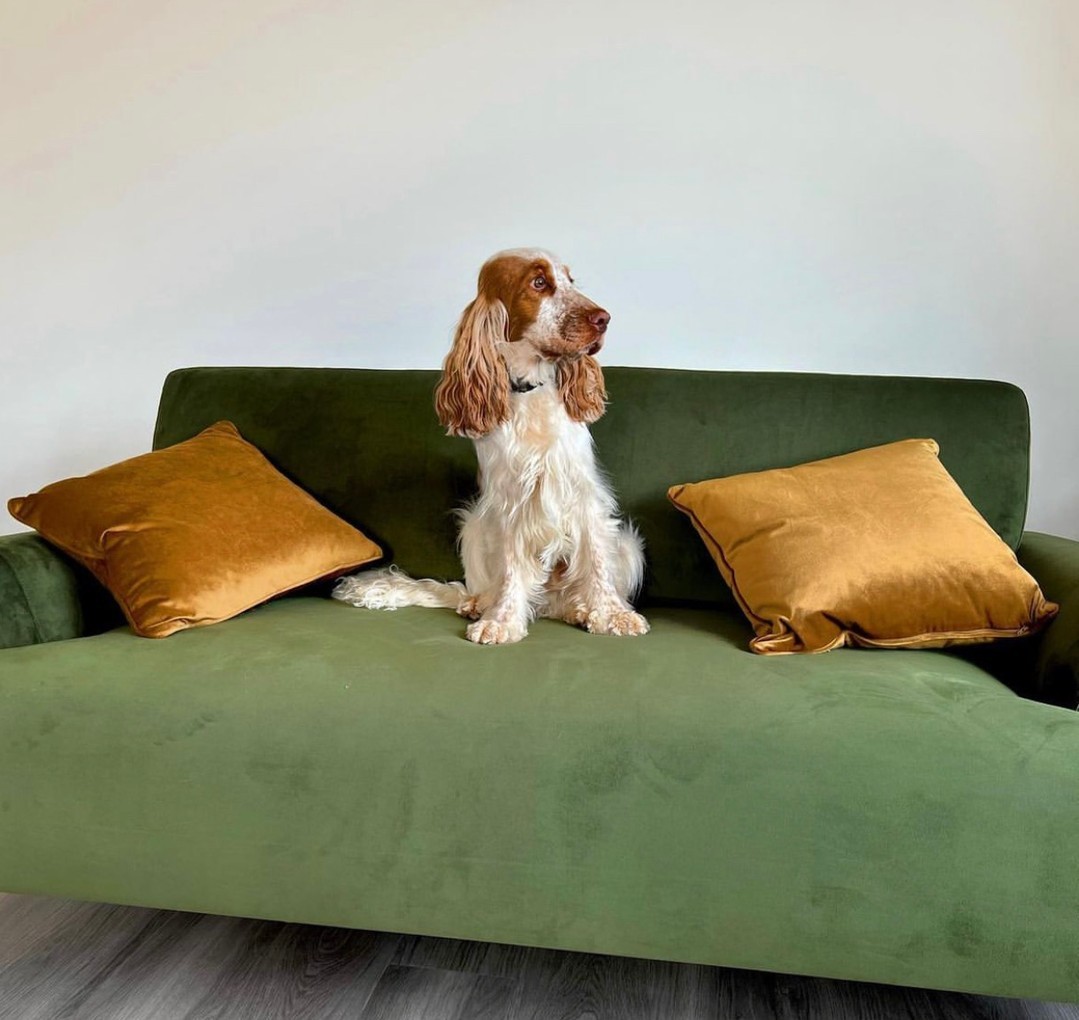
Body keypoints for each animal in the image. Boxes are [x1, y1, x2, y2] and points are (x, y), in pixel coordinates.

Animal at [333, 248, 648, 645]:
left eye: (570, 281)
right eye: (538, 282)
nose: (603, 318)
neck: (531, 391)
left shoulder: (583, 495)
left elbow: (596, 563)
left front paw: (612, 615)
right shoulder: (509, 502)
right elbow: (512, 570)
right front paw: (502, 621)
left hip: (627, 543)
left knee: (569, 594)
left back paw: (578, 609)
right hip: (473, 526)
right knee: (487, 587)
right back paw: (479, 604)